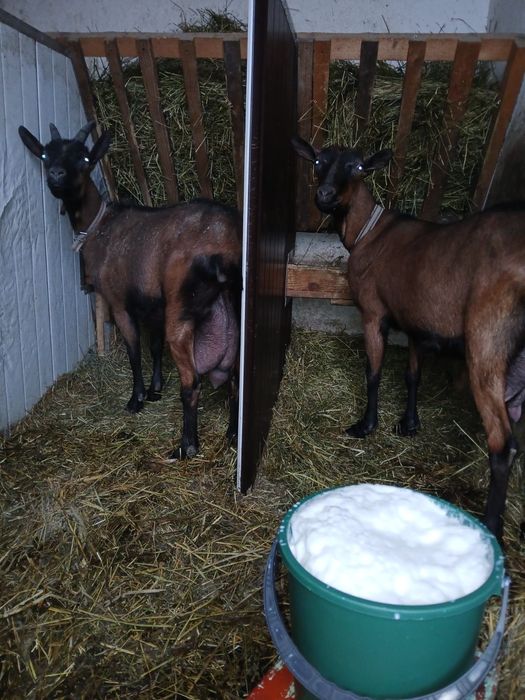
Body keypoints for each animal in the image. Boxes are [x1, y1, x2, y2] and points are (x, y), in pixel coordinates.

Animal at [19, 121, 242, 459]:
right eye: (45, 155)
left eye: (85, 159)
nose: (56, 175)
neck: (99, 225)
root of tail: (225, 243)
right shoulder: (153, 304)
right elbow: (154, 347)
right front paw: (155, 390)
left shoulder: (119, 301)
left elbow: (135, 351)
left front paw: (136, 399)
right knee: (237, 376)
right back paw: (232, 434)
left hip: (182, 307)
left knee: (192, 382)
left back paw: (186, 446)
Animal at [293, 135, 525, 540]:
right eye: (319, 161)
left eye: (357, 167)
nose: (324, 195)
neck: (367, 232)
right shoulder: (417, 321)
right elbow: (412, 374)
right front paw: (409, 424)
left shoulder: (373, 313)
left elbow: (374, 373)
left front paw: (366, 425)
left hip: (488, 338)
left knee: (502, 444)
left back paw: (491, 528)